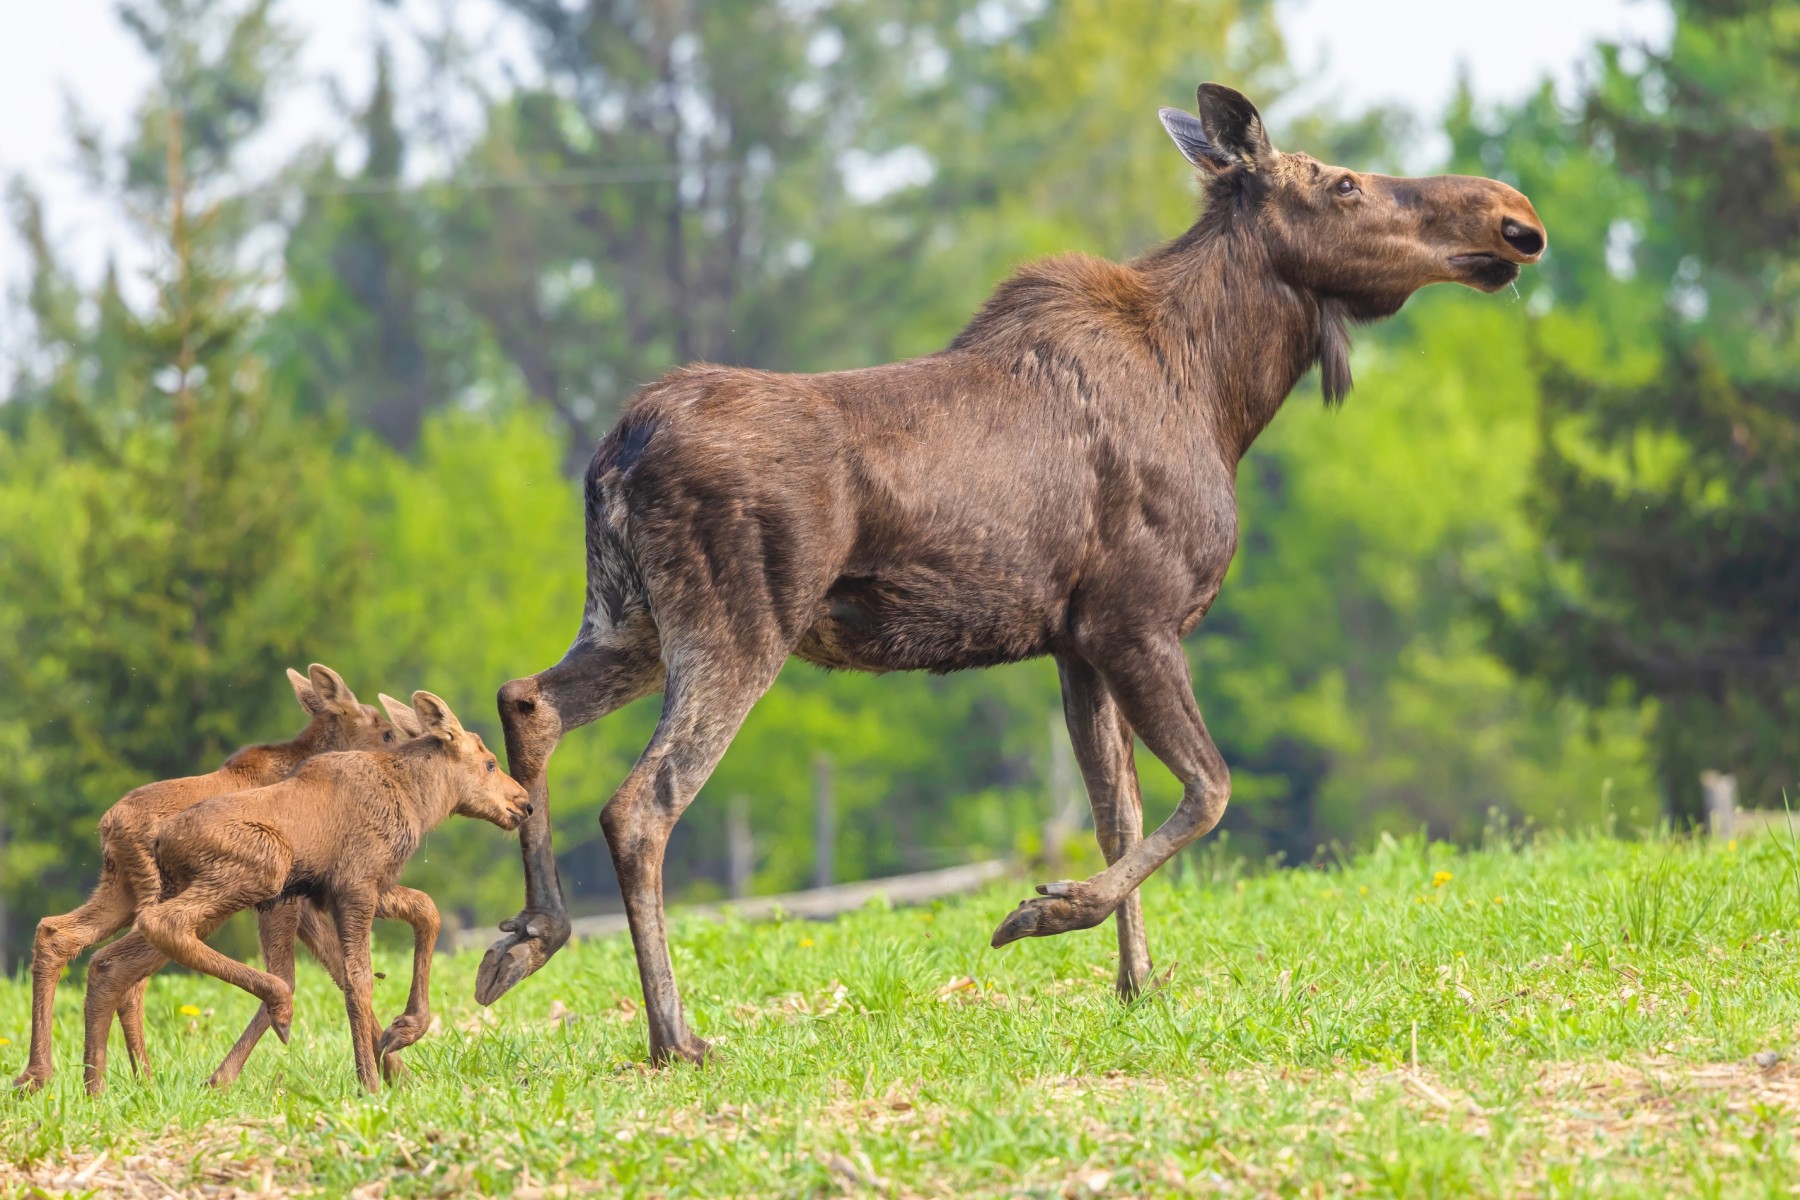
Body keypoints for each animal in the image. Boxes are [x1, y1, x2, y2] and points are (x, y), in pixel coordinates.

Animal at [10, 665, 402, 1093]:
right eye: (387, 733)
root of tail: (111, 825)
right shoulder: (288, 896)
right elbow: (309, 973)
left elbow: (338, 968)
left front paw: (397, 1067)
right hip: (179, 893)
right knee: (129, 972)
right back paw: (125, 1079)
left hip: (120, 888)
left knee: (59, 935)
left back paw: (48, 1075)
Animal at [123, 692, 530, 1092]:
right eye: (490, 763)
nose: (523, 802)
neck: (420, 802)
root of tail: (162, 841)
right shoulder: (356, 885)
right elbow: (359, 977)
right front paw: (369, 1082)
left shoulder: (367, 886)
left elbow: (427, 910)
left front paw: (404, 1029)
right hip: (265, 865)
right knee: (162, 924)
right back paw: (278, 1006)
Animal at [474, 82, 1548, 1067]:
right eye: (1343, 182)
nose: (1515, 218)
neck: (1223, 393)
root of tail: (616, 449)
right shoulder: (1137, 620)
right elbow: (1208, 789)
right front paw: (1045, 911)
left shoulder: (1075, 643)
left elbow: (1117, 812)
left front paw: (1137, 984)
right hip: (737, 625)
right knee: (639, 804)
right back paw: (672, 1034)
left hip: (631, 620)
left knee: (529, 698)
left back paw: (526, 940)